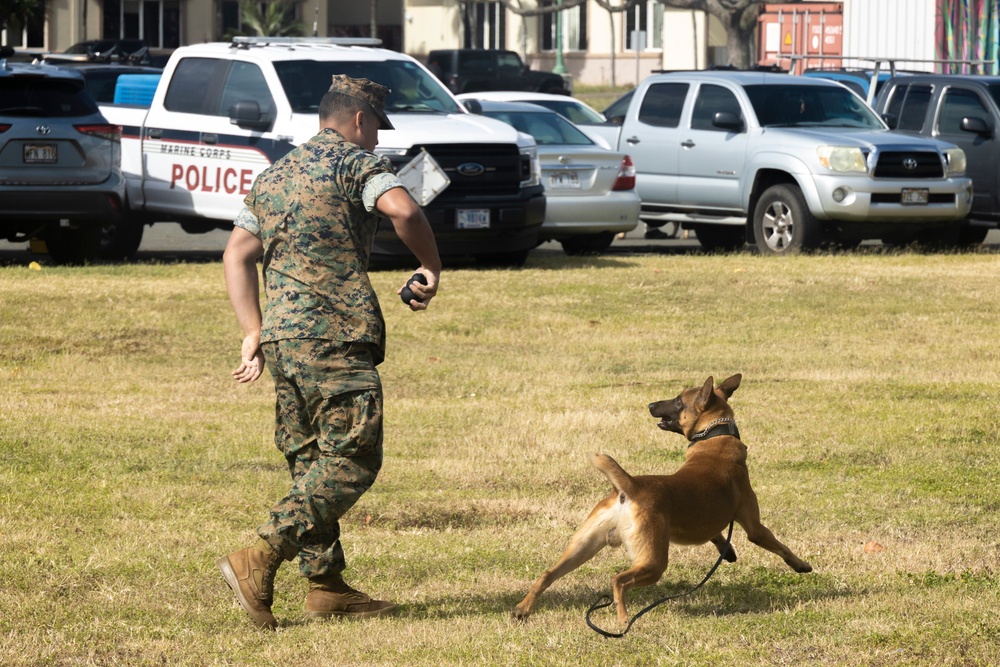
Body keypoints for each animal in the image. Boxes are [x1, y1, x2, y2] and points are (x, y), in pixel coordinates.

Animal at [512, 374, 808, 624]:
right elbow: (780, 546)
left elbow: (715, 534)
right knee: (618, 580)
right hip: (653, 562)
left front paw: (728, 551)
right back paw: (623, 619)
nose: (651, 404)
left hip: (583, 546)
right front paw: (801, 564)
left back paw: (522, 609)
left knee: (548, 574)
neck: (715, 436)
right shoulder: (755, 527)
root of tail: (630, 486)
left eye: (678, 401)